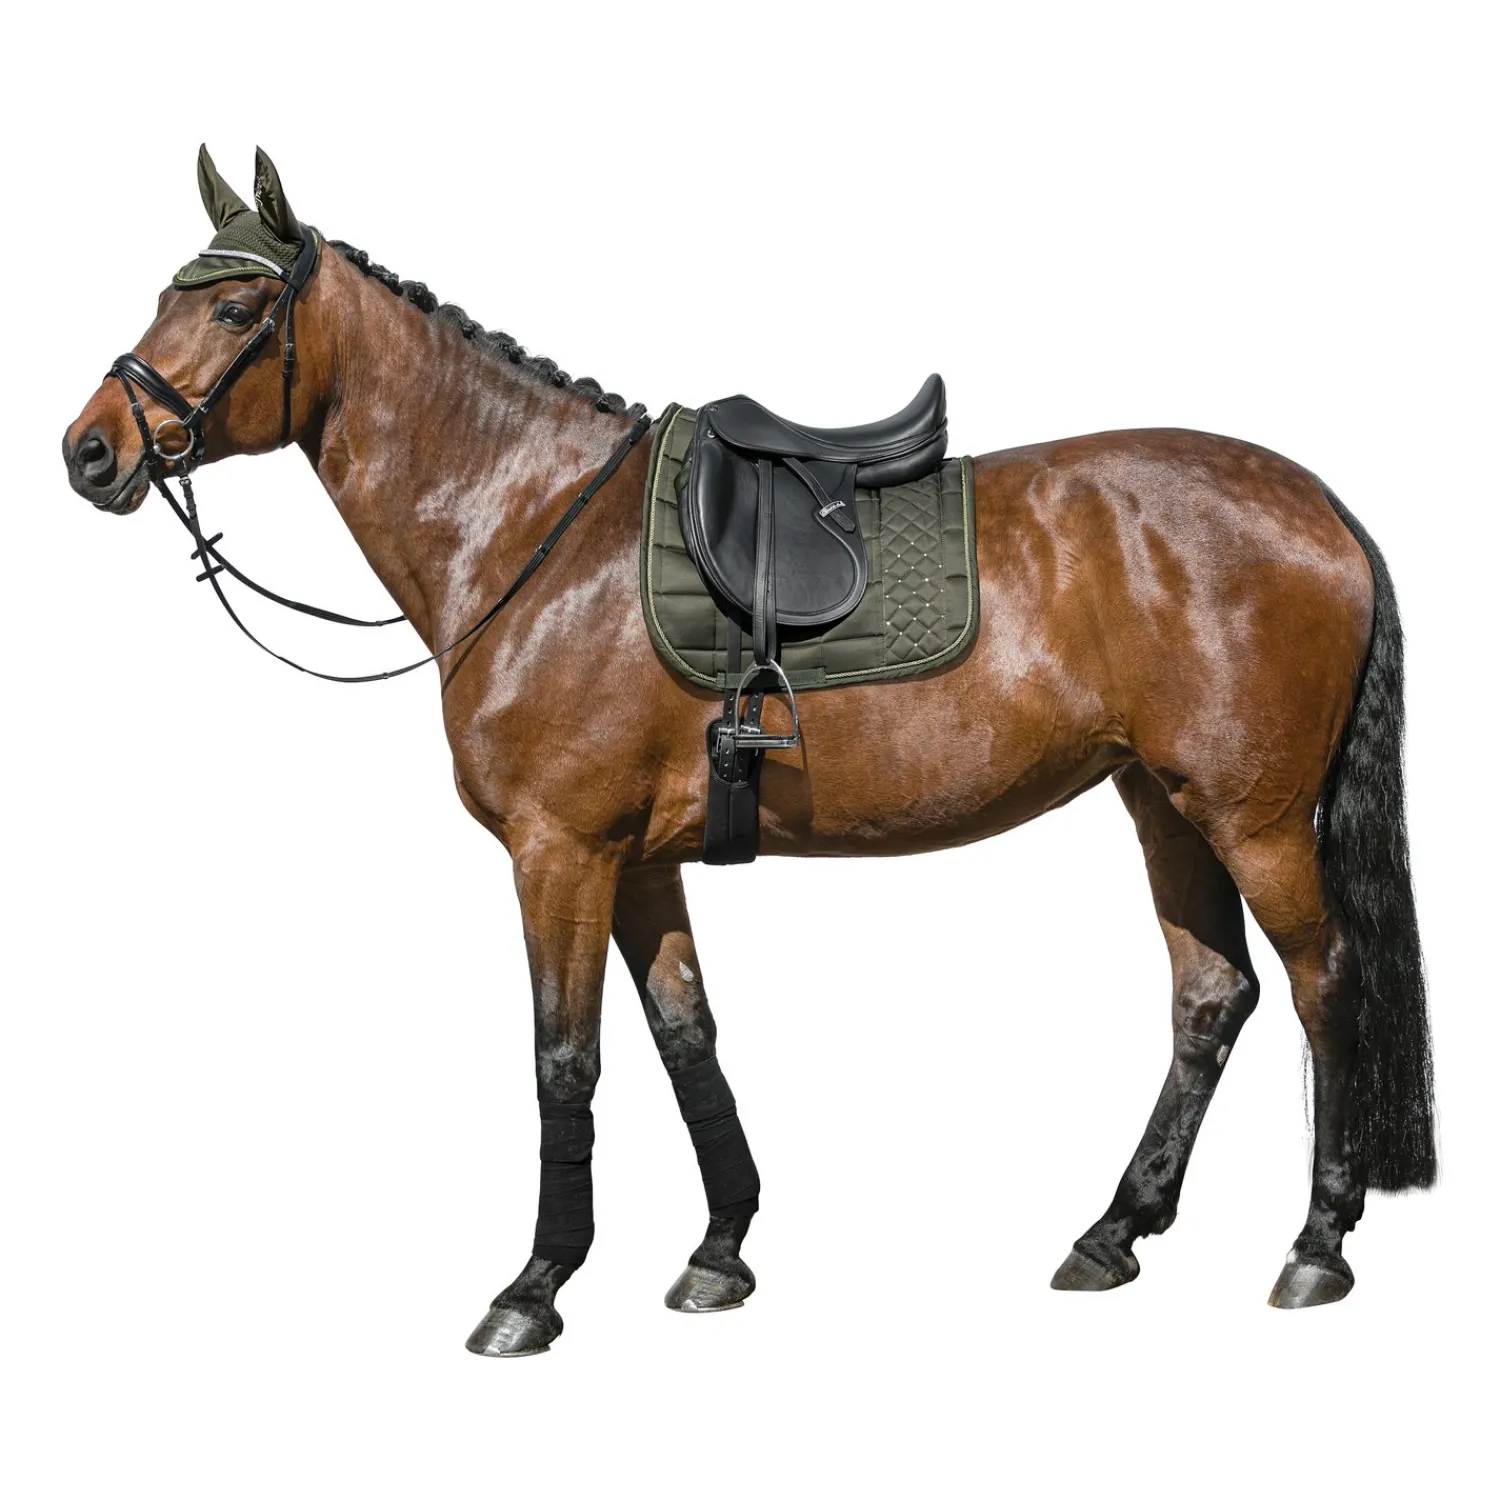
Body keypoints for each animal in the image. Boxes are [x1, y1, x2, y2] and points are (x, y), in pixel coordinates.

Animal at [61, 147, 1436, 1356]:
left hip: (1254, 816)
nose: (89, 450)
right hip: (1162, 801)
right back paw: (1114, 1232)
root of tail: (1319, 505)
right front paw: (720, 1251)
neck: (536, 527)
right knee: (1212, 997)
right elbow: (688, 1038)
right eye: (167, 293)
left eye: (236, 305)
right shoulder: (639, 863)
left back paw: (1316, 1244)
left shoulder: (560, 854)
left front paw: (535, 1287)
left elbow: (567, 1059)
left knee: (1324, 985)